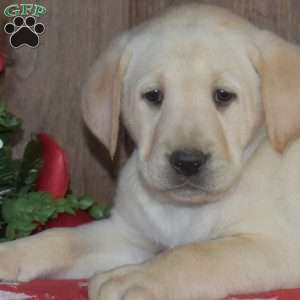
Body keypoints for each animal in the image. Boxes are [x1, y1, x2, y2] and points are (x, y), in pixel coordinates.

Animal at [0, 3, 300, 298]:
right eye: (154, 95)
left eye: (223, 95)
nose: (187, 162)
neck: (184, 210)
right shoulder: (126, 235)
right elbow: (64, 237)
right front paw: (11, 253)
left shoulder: (276, 247)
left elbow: (198, 252)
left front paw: (135, 278)